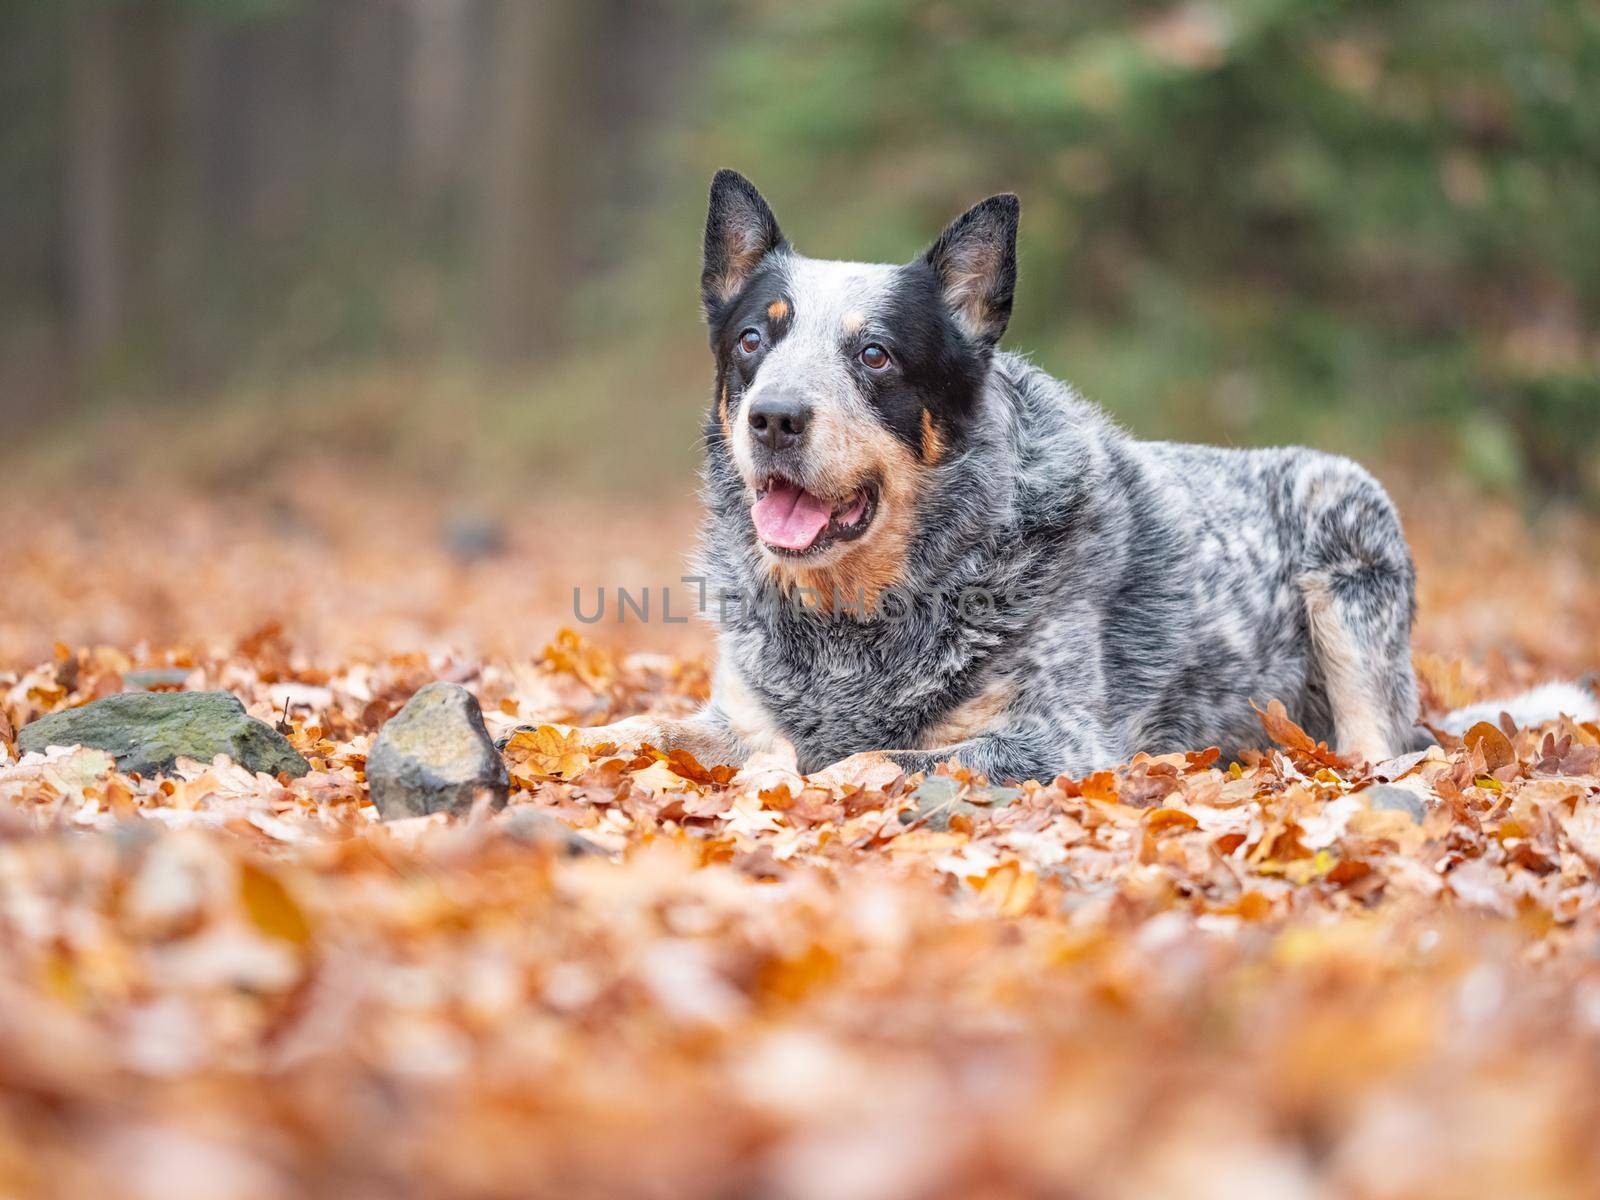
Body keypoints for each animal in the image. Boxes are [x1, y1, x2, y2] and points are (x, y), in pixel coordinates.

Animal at [540, 171, 1600, 790]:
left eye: (875, 355)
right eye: (754, 341)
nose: (773, 418)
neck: (852, 623)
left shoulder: (1057, 742)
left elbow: (868, 757)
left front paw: (799, 772)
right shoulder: (732, 709)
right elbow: (639, 726)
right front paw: (541, 737)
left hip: (1348, 530)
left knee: (1387, 746)